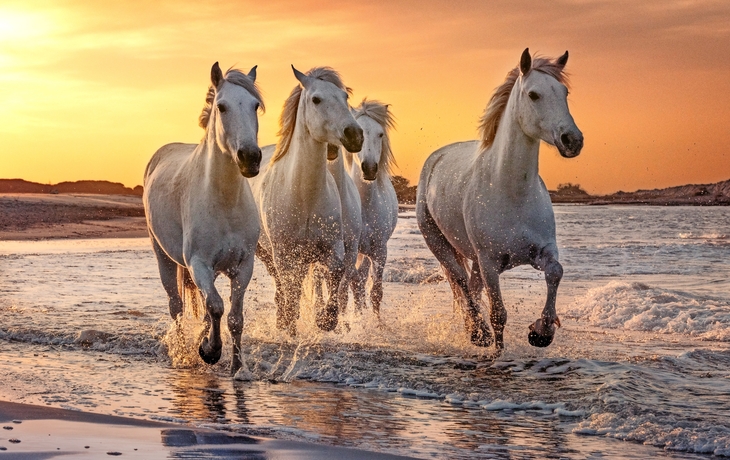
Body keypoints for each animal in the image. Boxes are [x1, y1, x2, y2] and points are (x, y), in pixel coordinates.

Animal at [143, 63, 264, 373]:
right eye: (222, 107)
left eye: (255, 106)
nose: (250, 157)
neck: (224, 201)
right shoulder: (198, 263)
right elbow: (217, 307)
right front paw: (210, 351)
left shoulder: (243, 266)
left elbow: (233, 317)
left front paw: (237, 367)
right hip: (163, 257)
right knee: (176, 306)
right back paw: (185, 352)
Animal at [248, 66, 363, 337]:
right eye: (316, 99)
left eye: (345, 97)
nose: (354, 135)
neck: (305, 197)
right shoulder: (284, 253)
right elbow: (290, 289)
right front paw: (290, 324)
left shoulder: (333, 247)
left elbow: (337, 273)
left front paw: (326, 320)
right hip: (267, 253)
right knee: (283, 286)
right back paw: (283, 321)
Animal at [416, 48, 583, 350]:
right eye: (533, 94)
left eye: (564, 92)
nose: (572, 140)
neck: (511, 193)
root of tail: (435, 159)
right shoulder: (490, 263)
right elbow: (498, 314)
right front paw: (498, 350)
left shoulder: (542, 251)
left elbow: (556, 272)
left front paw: (541, 332)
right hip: (439, 244)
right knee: (461, 282)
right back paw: (478, 333)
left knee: (471, 288)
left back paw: (473, 330)